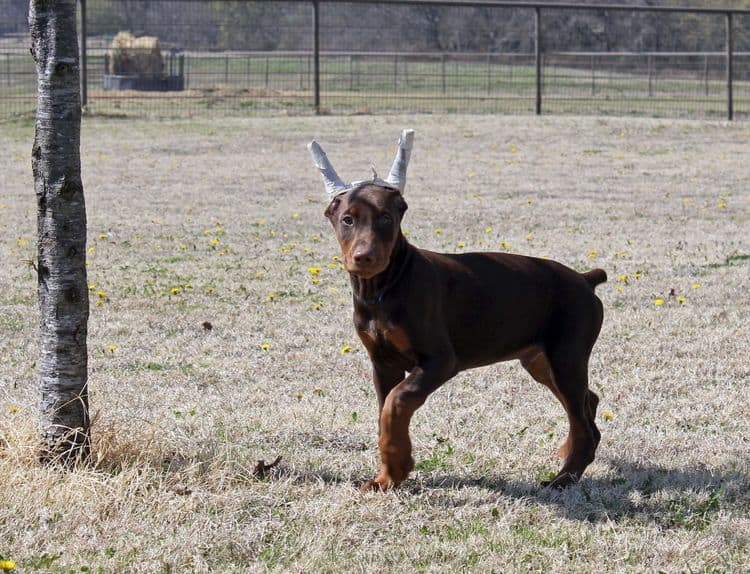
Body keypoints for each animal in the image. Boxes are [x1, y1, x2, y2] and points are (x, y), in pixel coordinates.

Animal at [308, 133, 608, 492]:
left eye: (386, 218)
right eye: (347, 219)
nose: (364, 257)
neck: (384, 289)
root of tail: (585, 279)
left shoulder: (440, 360)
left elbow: (396, 403)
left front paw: (399, 465)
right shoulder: (382, 363)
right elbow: (384, 411)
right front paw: (386, 476)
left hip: (567, 356)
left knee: (583, 421)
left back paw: (564, 478)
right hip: (540, 361)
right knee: (588, 402)